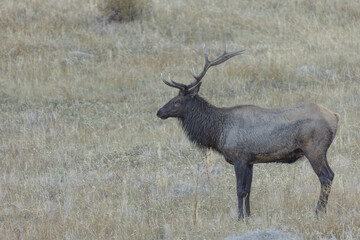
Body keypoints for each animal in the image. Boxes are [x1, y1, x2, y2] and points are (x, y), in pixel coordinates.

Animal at [156, 44, 338, 220]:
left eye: (177, 101)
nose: (159, 112)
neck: (218, 133)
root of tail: (335, 117)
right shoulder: (250, 160)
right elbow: (249, 190)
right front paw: (249, 215)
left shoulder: (240, 157)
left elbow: (240, 190)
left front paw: (239, 217)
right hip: (322, 151)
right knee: (331, 174)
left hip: (313, 148)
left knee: (325, 177)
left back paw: (318, 212)